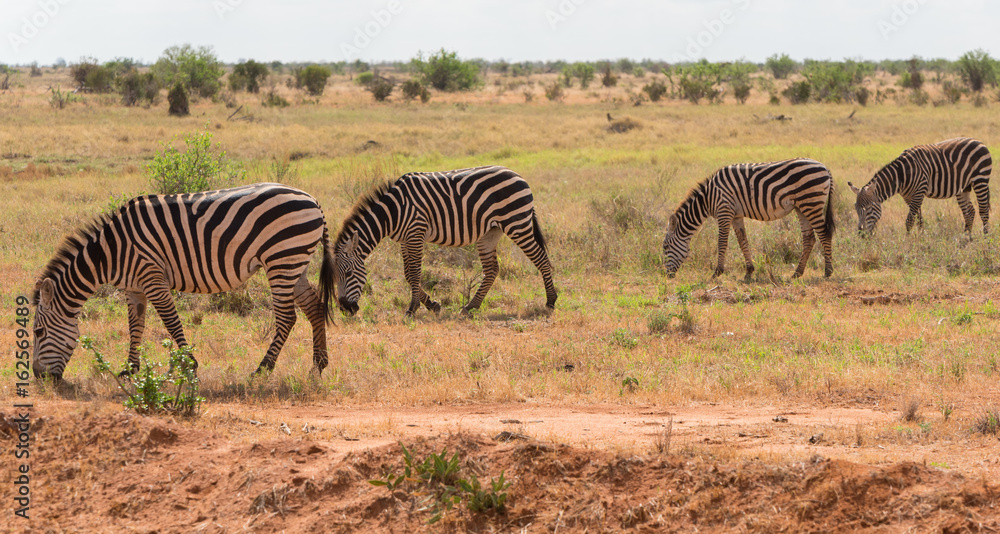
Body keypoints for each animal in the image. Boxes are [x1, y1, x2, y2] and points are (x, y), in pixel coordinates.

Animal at [31, 183, 335, 381]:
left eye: (38, 332)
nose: (39, 378)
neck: (112, 251)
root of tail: (313, 200)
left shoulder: (152, 276)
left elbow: (170, 321)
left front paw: (190, 365)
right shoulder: (134, 288)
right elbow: (135, 327)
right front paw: (129, 370)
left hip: (281, 259)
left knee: (286, 317)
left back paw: (262, 369)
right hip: (295, 263)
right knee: (314, 307)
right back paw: (318, 366)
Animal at [333, 165, 557, 317]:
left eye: (349, 273)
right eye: (335, 277)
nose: (346, 309)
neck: (393, 212)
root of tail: (517, 174)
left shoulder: (416, 233)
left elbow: (415, 274)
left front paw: (412, 308)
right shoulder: (405, 240)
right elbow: (407, 274)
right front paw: (432, 305)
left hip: (517, 224)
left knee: (541, 259)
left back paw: (551, 301)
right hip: (490, 233)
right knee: (492, 270)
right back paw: (471, 306)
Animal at [663, 158, 835, 281]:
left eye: (665, 247)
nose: (667, 276)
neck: (708, 198)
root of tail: (825, 167)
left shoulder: (724, 211)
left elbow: (722, 243)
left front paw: (717, 272)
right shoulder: (736, 216)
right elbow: (742, 241)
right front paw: (749, 271)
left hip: (811, 202)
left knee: (824, 234)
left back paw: (828, 272)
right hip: (802, 207)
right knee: (809, 239)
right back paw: (797, 273)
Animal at [848, 137, 992, 235]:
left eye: (869, 209)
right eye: (856, 209)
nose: (861, 234)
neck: (902, 175)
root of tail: (978, 141)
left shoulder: (919, 192)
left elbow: (910, 220)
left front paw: (908, 242)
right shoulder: (908, 196)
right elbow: (919, 219)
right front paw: (920, 239)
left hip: (980, 180)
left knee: (983, 211)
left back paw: (985, 241)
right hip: (964, 187)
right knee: (969, 212)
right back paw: (967, 239)